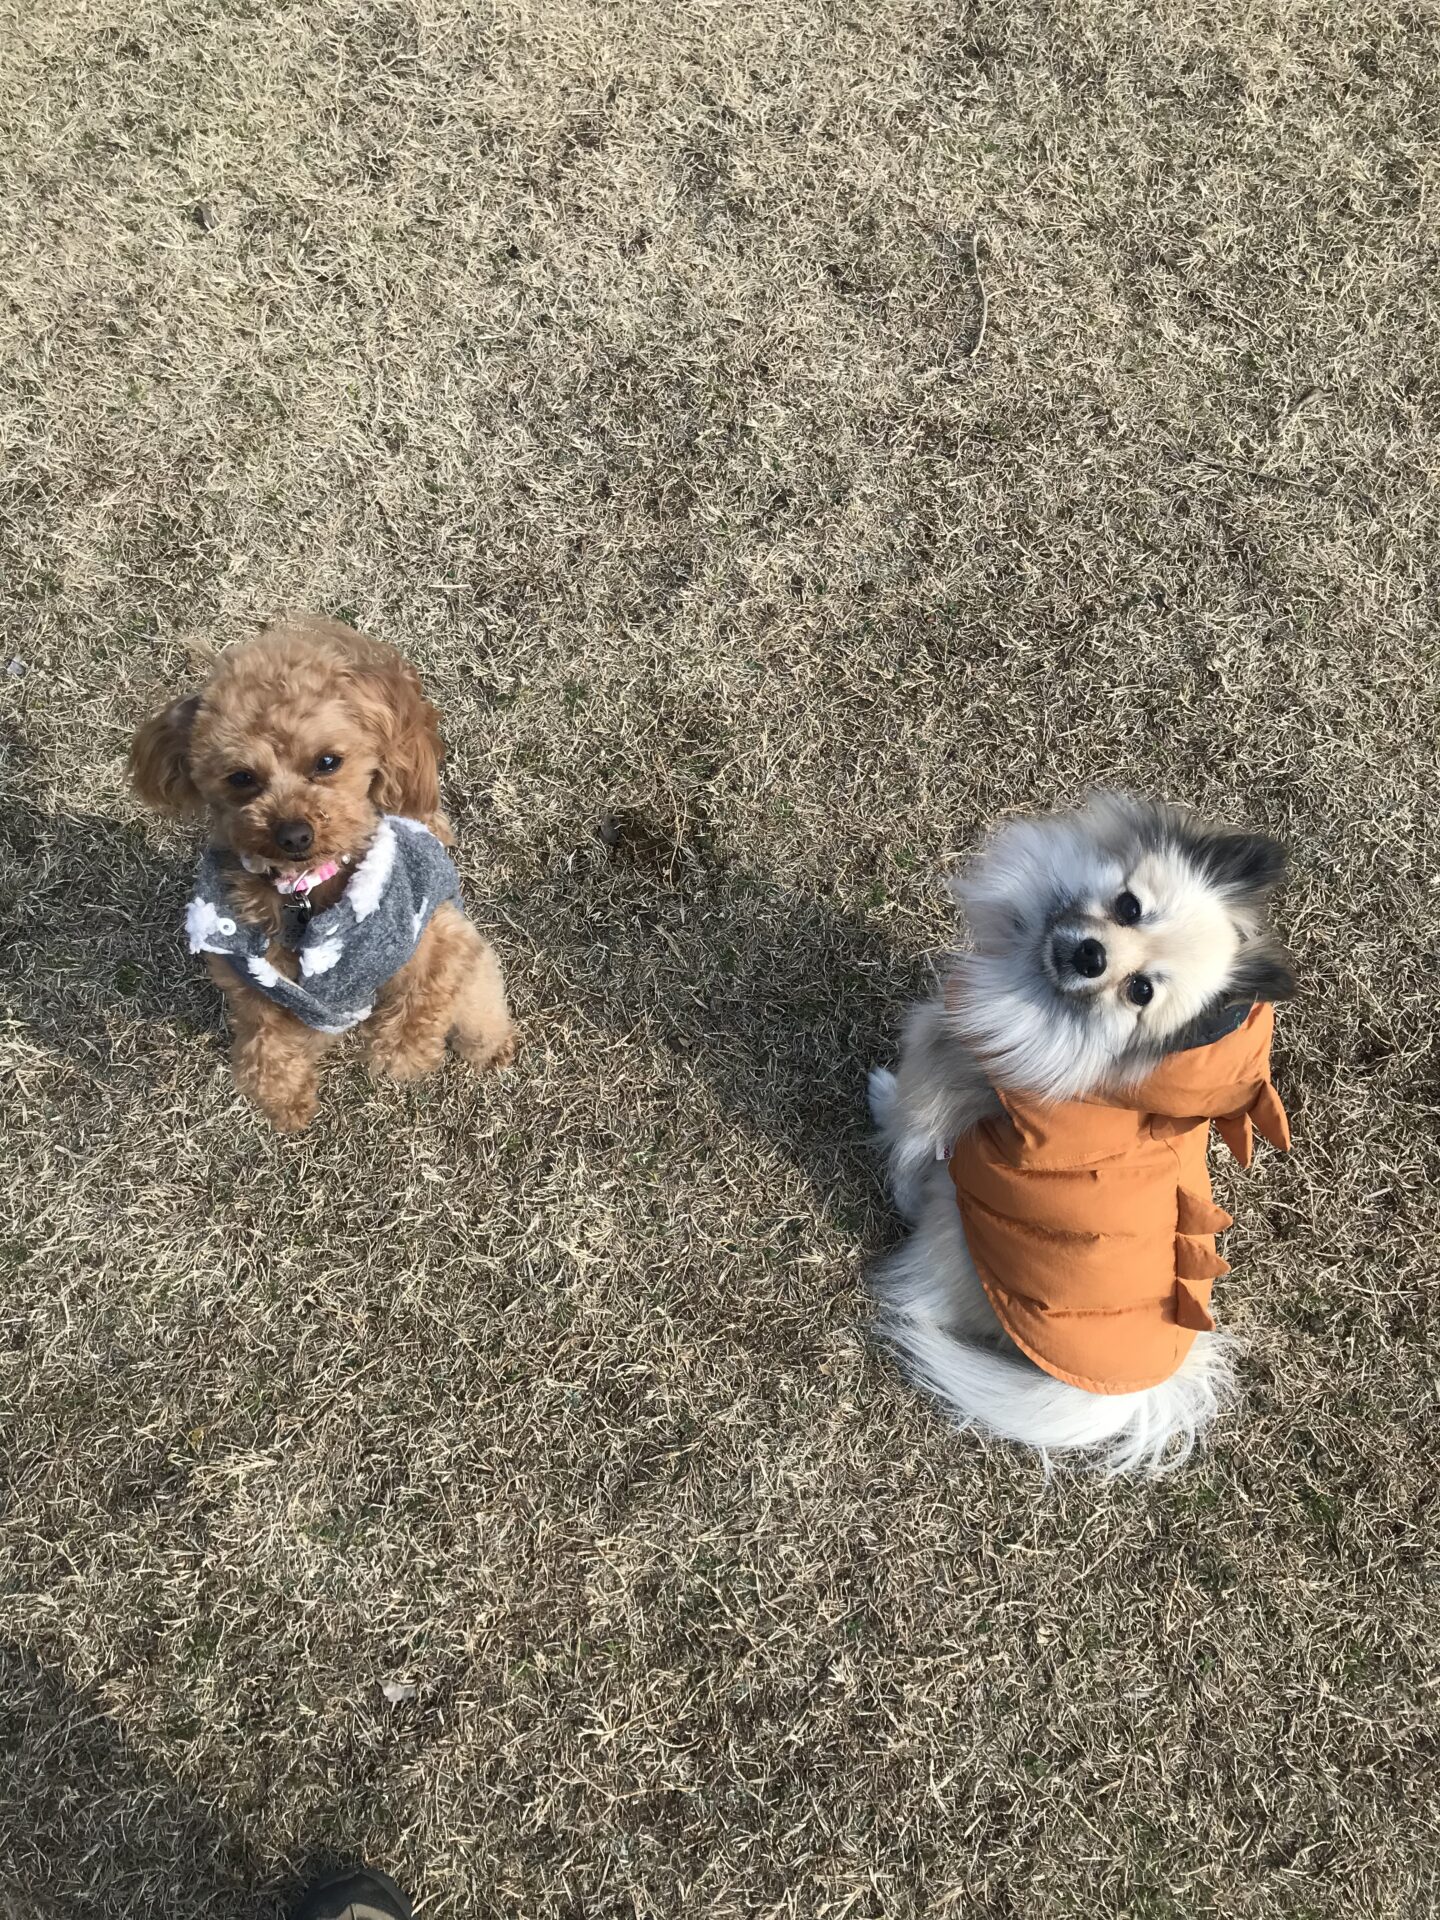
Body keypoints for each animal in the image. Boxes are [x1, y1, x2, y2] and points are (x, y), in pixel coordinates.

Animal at [131, 614, 517, 1131]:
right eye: (241, 778)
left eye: (328, 762)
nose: (294, 835)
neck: (304, 891)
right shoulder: (256, 982)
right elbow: (264, 1041)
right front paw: (285, 1099)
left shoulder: (438, 931)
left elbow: (427, 988)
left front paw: (400, 1055)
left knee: (480, 1009)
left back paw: (491, 1049)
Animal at [870, 793, 1296, 1473]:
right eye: (1129, 907)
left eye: (1139, 992)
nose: (1092, 956)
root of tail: (1116, 1393)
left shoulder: (937, 1060)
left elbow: (907, 1129)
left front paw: (880, 1104)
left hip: (956, 1222)